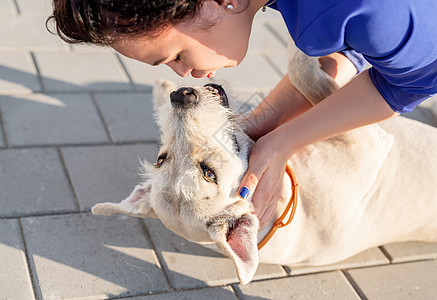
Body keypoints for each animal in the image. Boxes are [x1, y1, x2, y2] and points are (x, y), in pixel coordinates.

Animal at [91, 44, 436, 284]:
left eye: (160, 159)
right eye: (208, 173)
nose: (182, 94)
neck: (287, 198)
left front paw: (160, 93)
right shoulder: (367, 139)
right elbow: (306, 77)